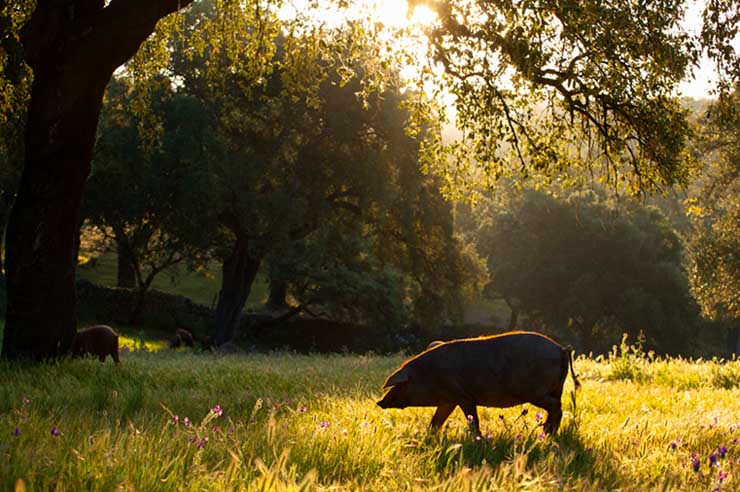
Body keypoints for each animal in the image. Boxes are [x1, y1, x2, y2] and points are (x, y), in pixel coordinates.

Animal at [378, 330, 580, 434]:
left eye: (401, 384)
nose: (379, 402)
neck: (429, 375)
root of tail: (562, 349)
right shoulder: (448, 400)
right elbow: (436, 421)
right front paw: (428, 436)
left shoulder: (463, 397)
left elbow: (473, 420)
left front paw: (477, 439)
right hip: (556, 388)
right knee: (555, 407)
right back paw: (545, 432)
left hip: (535, 392)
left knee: (556, 407)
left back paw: (548, 433)